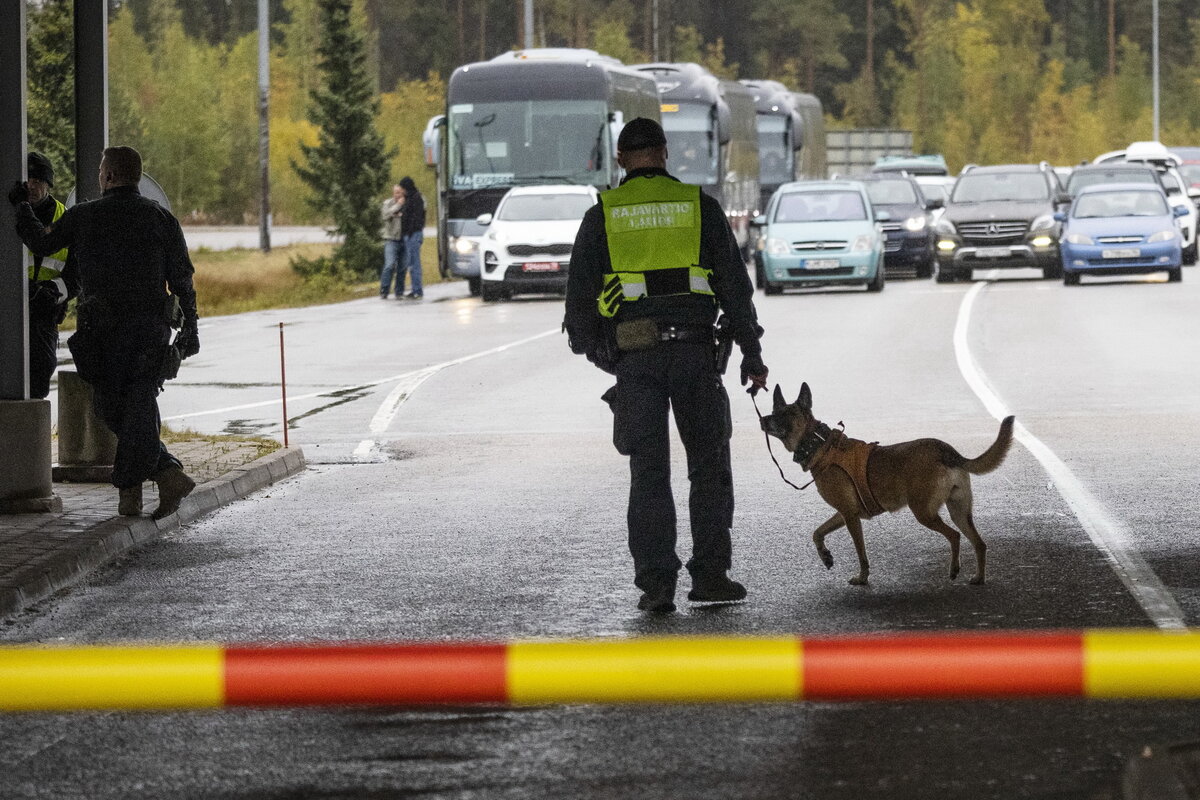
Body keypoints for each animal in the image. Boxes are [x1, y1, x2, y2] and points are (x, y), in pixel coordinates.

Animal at [758, 383, 1012, 585]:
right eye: (773, 410)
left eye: (784, 413)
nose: (762, 419)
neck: (819, 444)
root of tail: (946, 450)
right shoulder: (844, 513)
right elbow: (817, 533)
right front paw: (825, 556)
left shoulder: (850, 516)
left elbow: (861, 553)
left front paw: (862, 578)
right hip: (959, 512)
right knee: (979, 543)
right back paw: (978, 578)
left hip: (924, 513)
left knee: (955, 536)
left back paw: (954, 569)